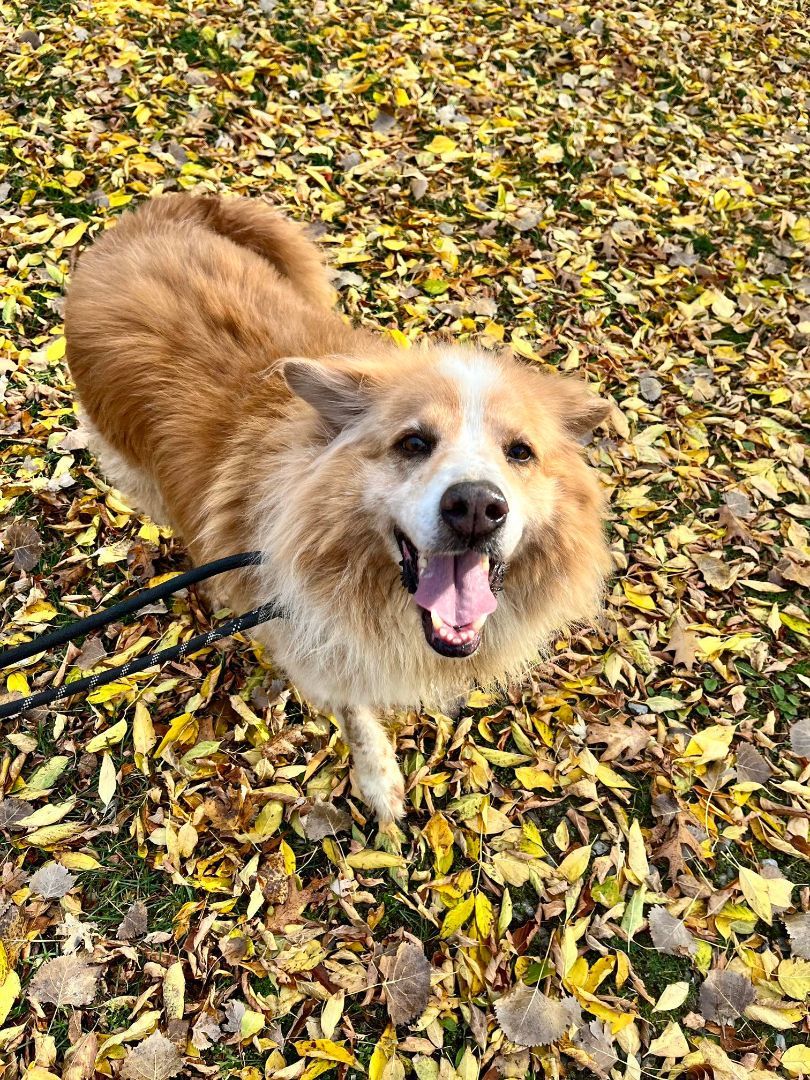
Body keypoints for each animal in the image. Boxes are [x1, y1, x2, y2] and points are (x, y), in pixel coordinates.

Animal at [66, 194, 613, 816]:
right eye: (413, 443)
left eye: (520, 452)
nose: (476, 506)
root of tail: (152, 216)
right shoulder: (316, 644)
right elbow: (355, 711)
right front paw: (378, 782)